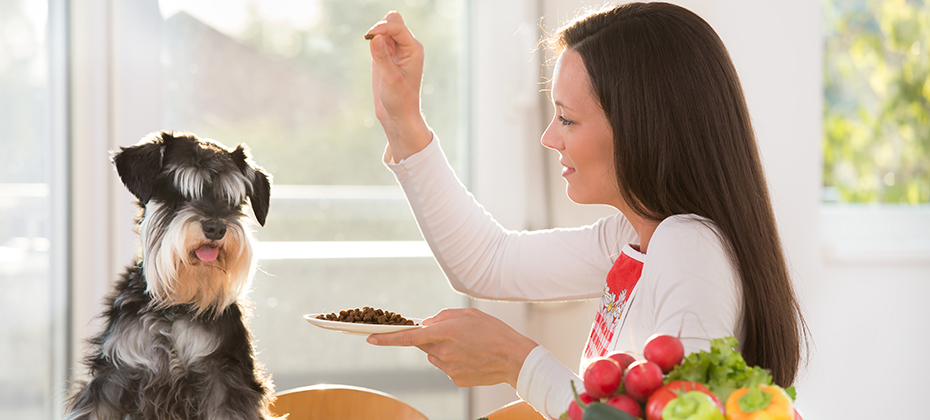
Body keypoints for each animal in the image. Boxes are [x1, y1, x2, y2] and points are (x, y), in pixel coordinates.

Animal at [65, 131, 278, 420]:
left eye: (232, 200)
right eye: (179, 192)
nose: (215, 228)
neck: (176, 302)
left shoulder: (224, 375)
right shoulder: (115, 372)